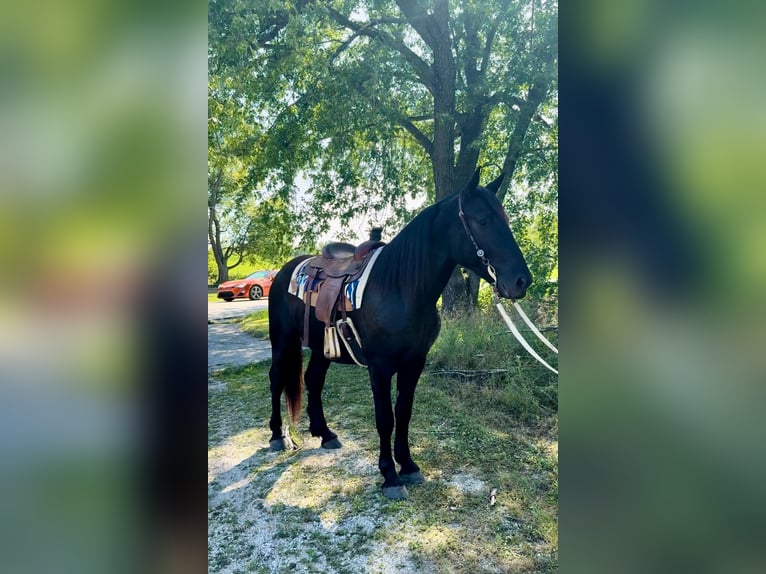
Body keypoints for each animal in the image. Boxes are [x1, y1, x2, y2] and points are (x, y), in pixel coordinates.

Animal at [268, 171, 532, 500]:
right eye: (483, 220)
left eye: (505, 219)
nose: (522, 280)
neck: (400, 288)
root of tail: (285, 270)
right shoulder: (380, 367)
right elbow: (385, 418)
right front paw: (390, 476)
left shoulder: (415, 362)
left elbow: (403, 412)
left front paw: (408, 465)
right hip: (281, 341)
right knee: (276, 379)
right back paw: (278, 436)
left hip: (321, 347)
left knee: (313, 379)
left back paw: (325, 434)